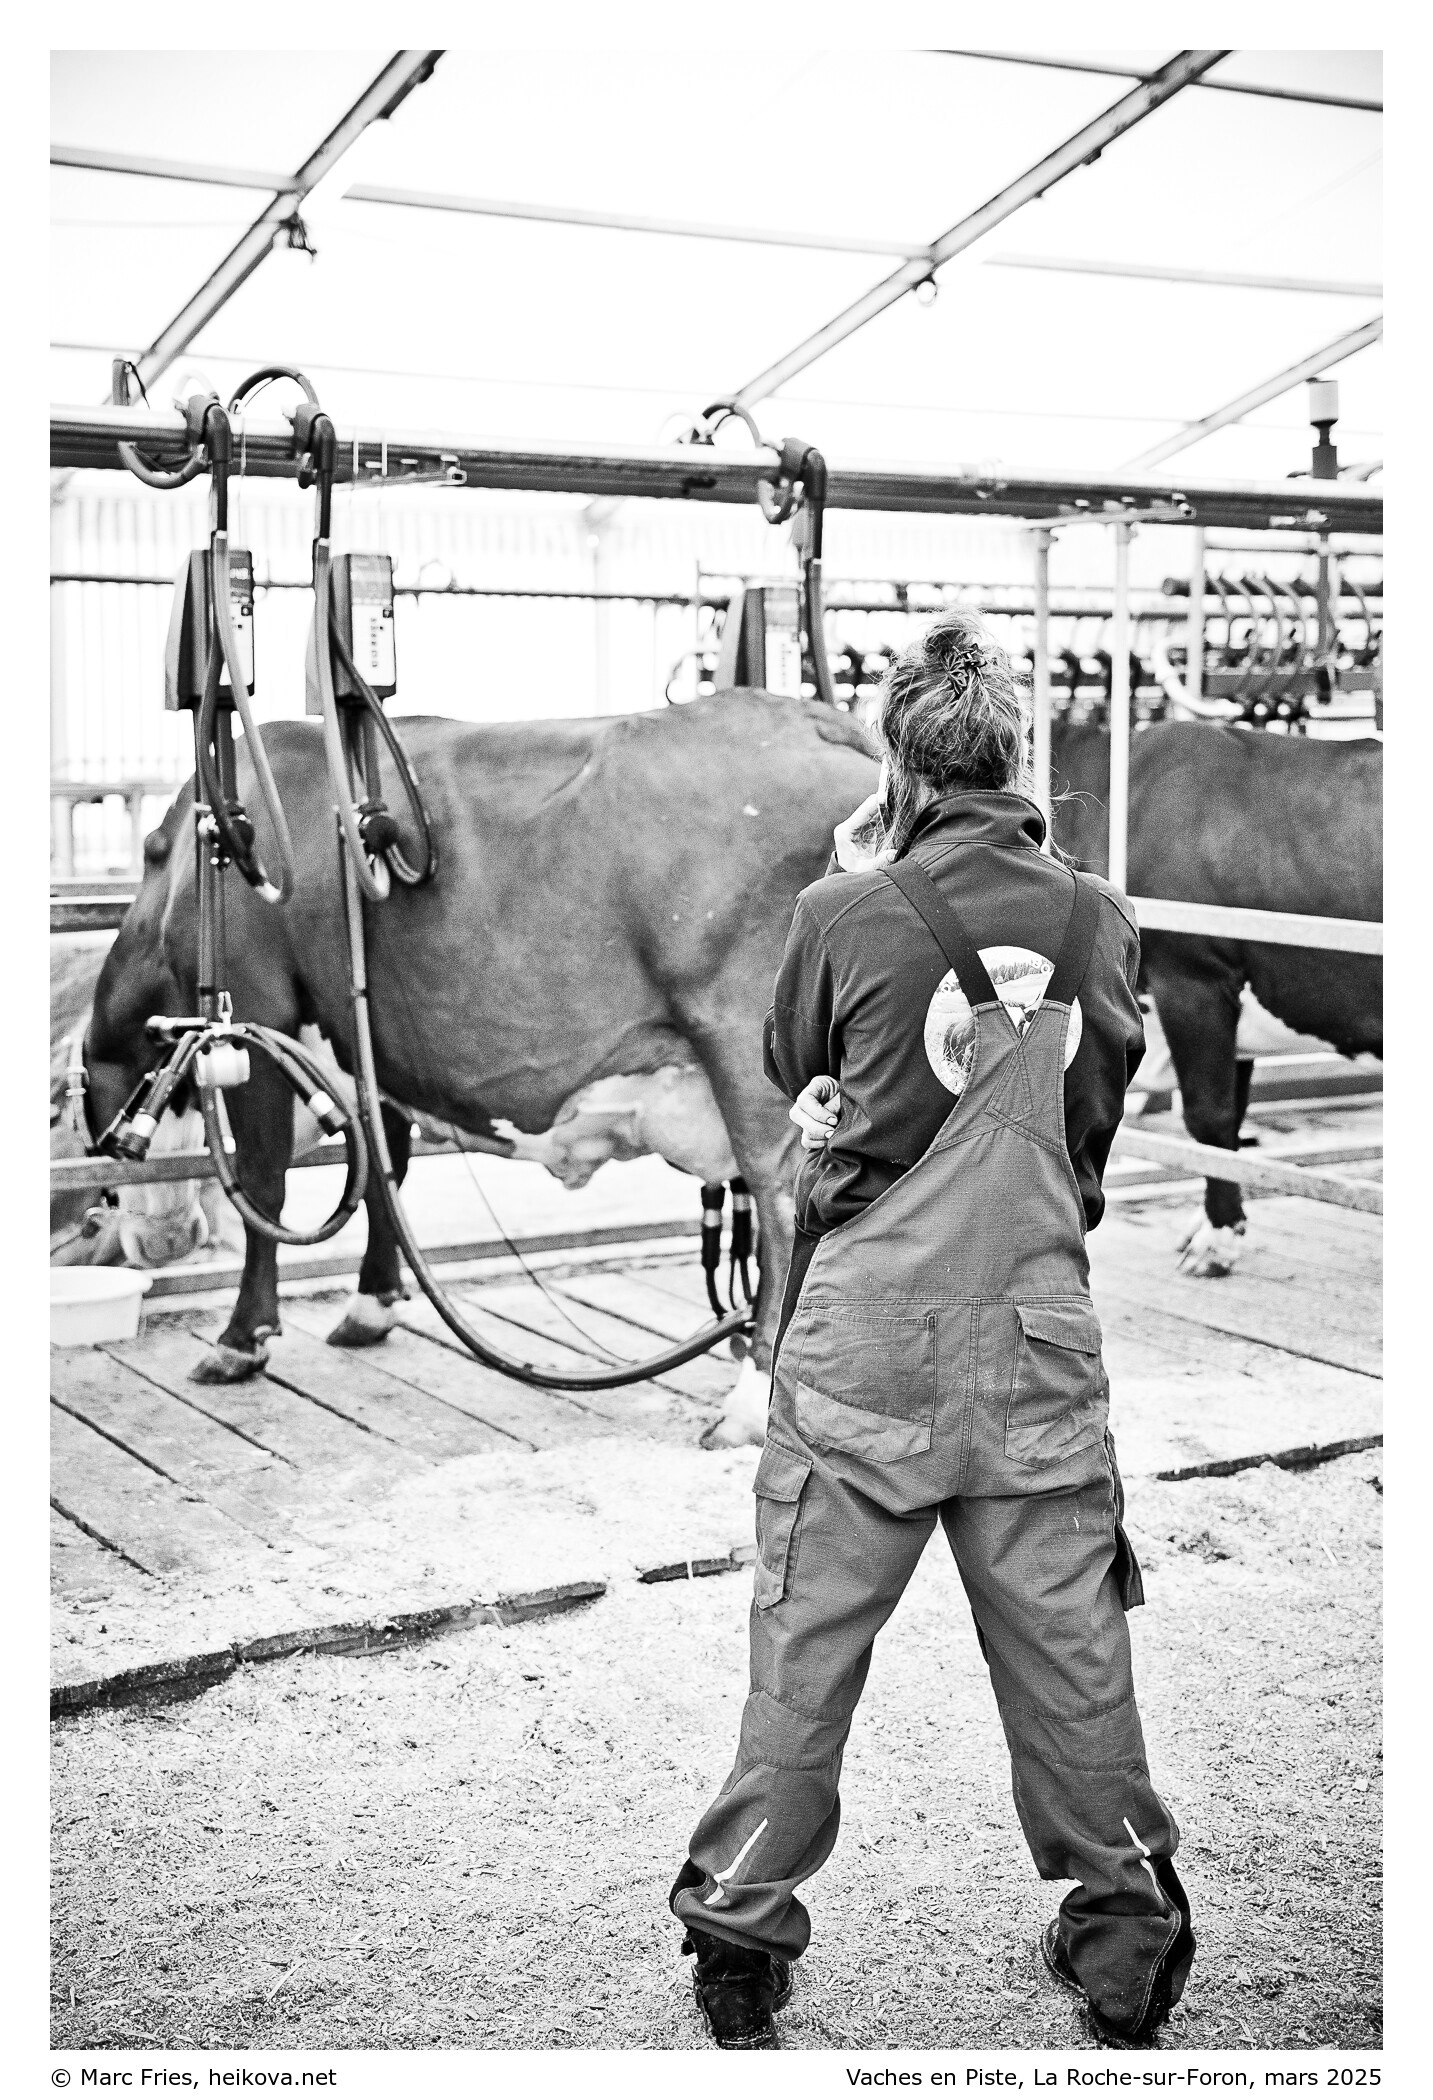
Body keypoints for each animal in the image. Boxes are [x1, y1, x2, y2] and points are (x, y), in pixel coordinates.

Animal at [80, 692, 879, 1446]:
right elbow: (386, 1174)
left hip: (751, 1055)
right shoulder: (371, 1041)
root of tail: (813, 720)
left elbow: (264, 1185)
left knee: (779, 1201)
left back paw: (747, 1406)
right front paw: (370, 1307)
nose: (160, 1243)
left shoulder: (260, 1012)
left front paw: (240, 1341)